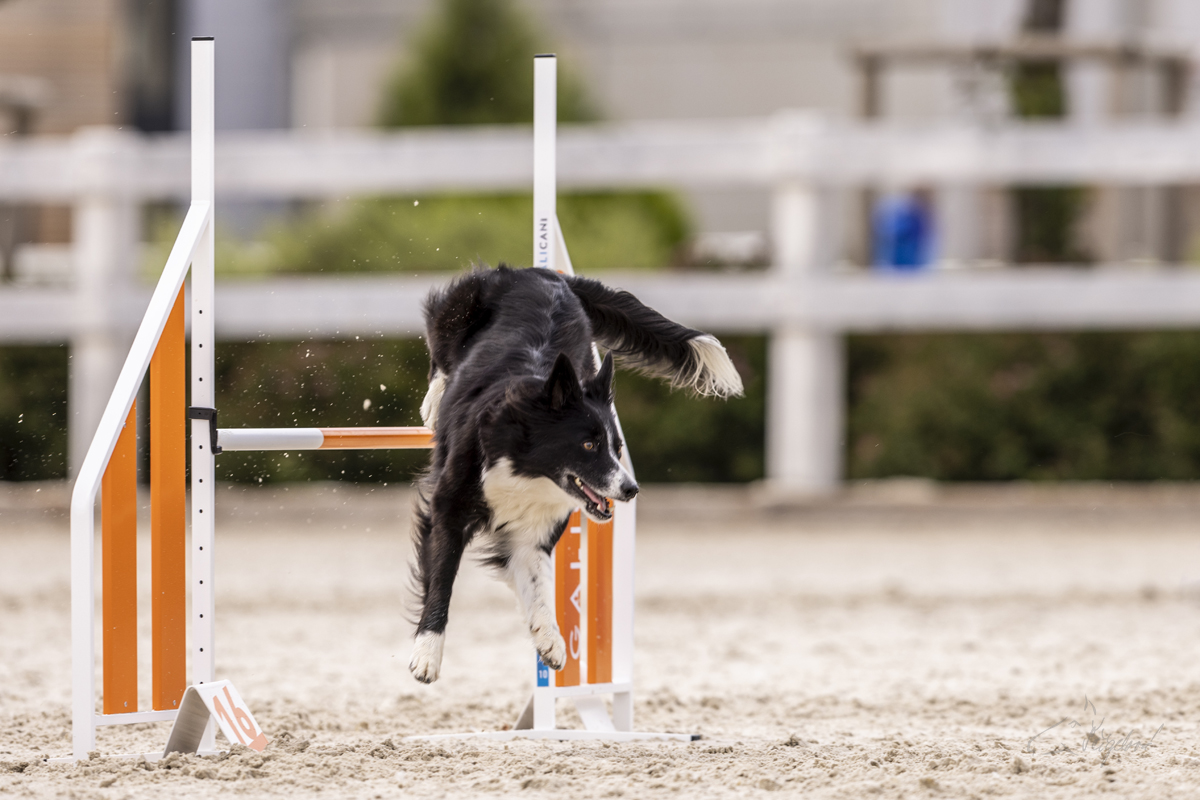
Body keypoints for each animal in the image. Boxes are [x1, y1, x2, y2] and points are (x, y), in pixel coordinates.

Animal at [410, 266, 739, 686]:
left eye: (616, 447)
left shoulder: (533, 531)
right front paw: (426, 654)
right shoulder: (448, 509)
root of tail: (545, 274)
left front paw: (549, 638)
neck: (526, 468)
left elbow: (538, 581)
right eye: (587, 445)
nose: (631, 490)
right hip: (457, 311)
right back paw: (435, 400)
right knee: (440, 351)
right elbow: (442, 579)